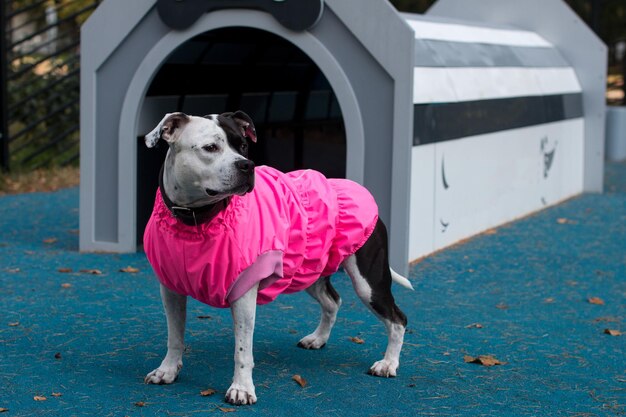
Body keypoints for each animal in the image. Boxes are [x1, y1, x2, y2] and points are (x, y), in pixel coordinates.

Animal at [143, 110, 412, 404]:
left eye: (243, 145)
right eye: (210, 148)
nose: (247, 165)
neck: (194, 220)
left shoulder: (243, 294)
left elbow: (242, 350)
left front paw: (241, 388)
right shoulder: (171, 290)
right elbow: (174, 336)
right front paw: (168, 370)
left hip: (368, 283)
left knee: (398, 319)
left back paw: (388, 363)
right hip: (310, 271)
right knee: (333, 301)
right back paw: (318, 338)